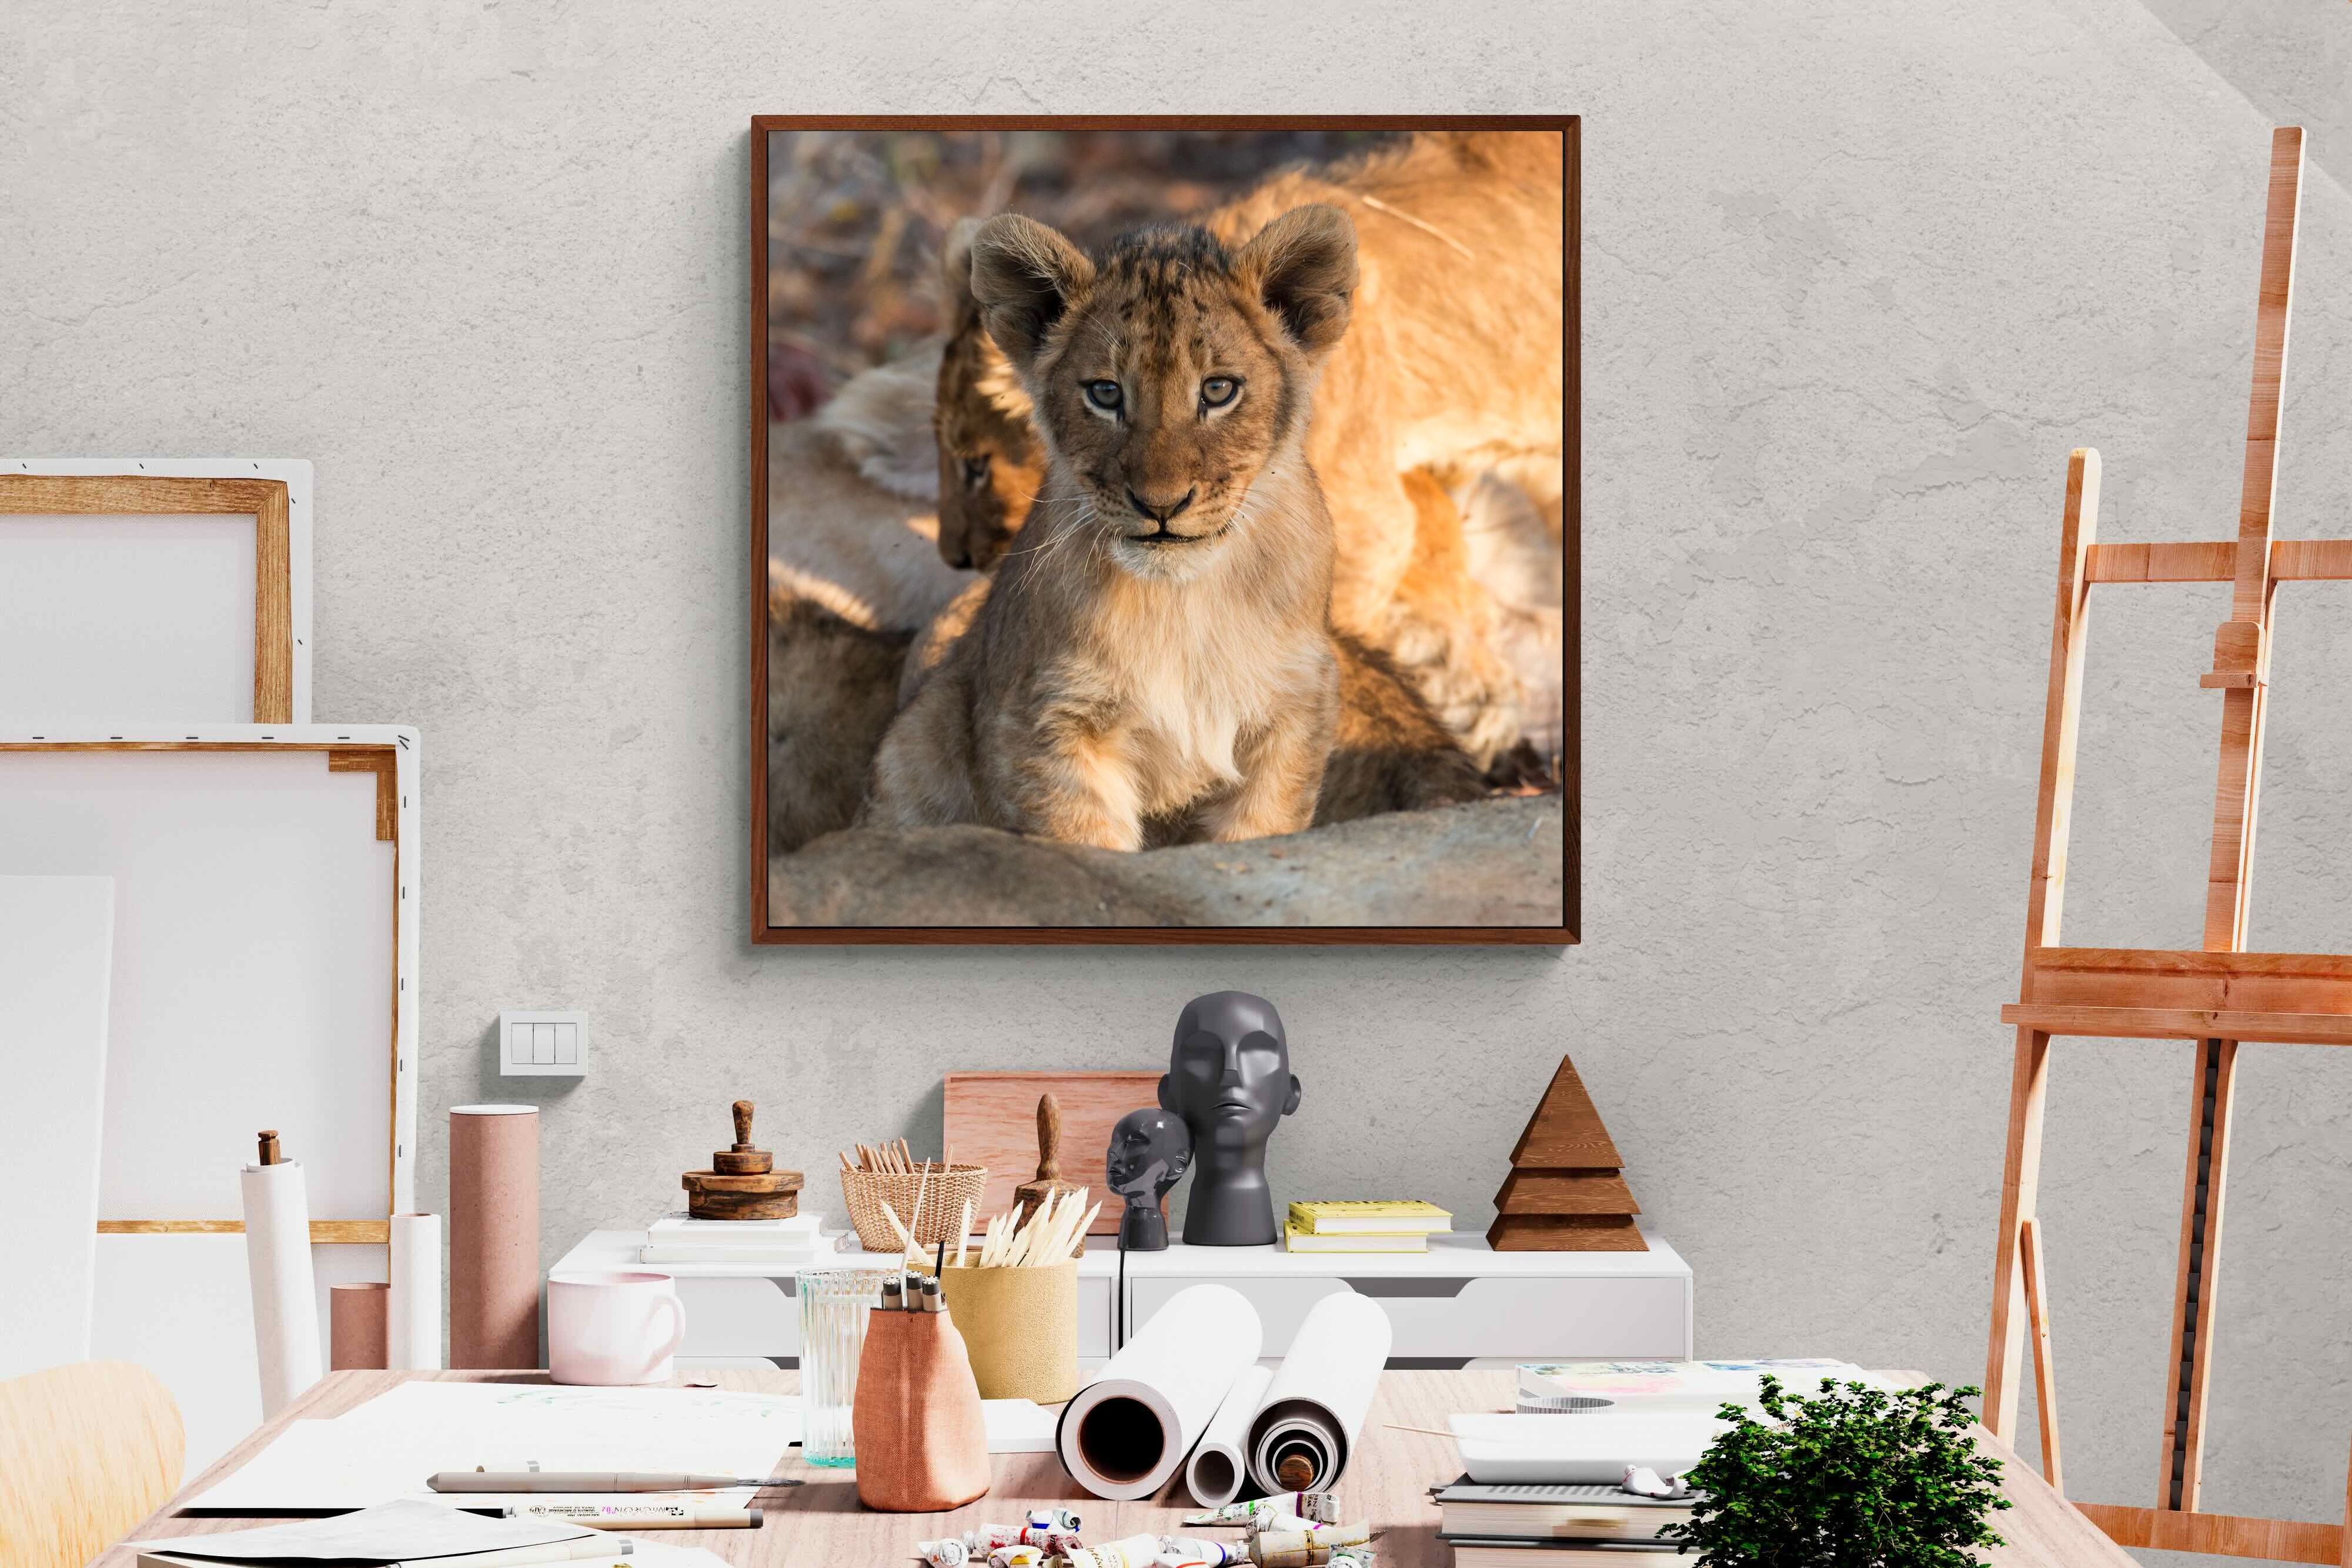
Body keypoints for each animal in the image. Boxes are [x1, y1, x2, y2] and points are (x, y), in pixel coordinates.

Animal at [866, 207, 1366, 849]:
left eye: (1219, 390)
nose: (1161, 504)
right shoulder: (1050, 720)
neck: (1183, 603)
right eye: (1105, 393)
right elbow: (1084, 844)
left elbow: (1258, 833)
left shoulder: (1293, 710)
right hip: (921, 737)